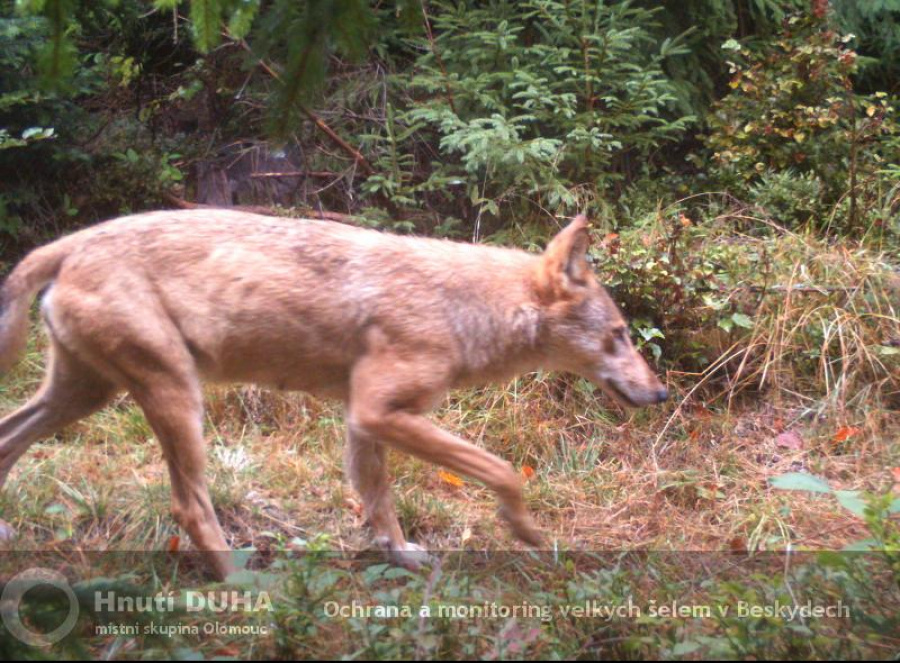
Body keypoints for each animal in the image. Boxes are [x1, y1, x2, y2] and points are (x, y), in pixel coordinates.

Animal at [0, 210, 664, 580]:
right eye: (619, 336)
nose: (659, 393)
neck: (464, 309)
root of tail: (70, 243)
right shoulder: (378, 411)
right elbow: (503, 471)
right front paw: (524, 532)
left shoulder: (363, 422)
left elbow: (381, 506)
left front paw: (404, 559)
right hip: (176, 398)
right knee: (189, 507)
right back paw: (241, 588)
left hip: (83, 396)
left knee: (9, 438)